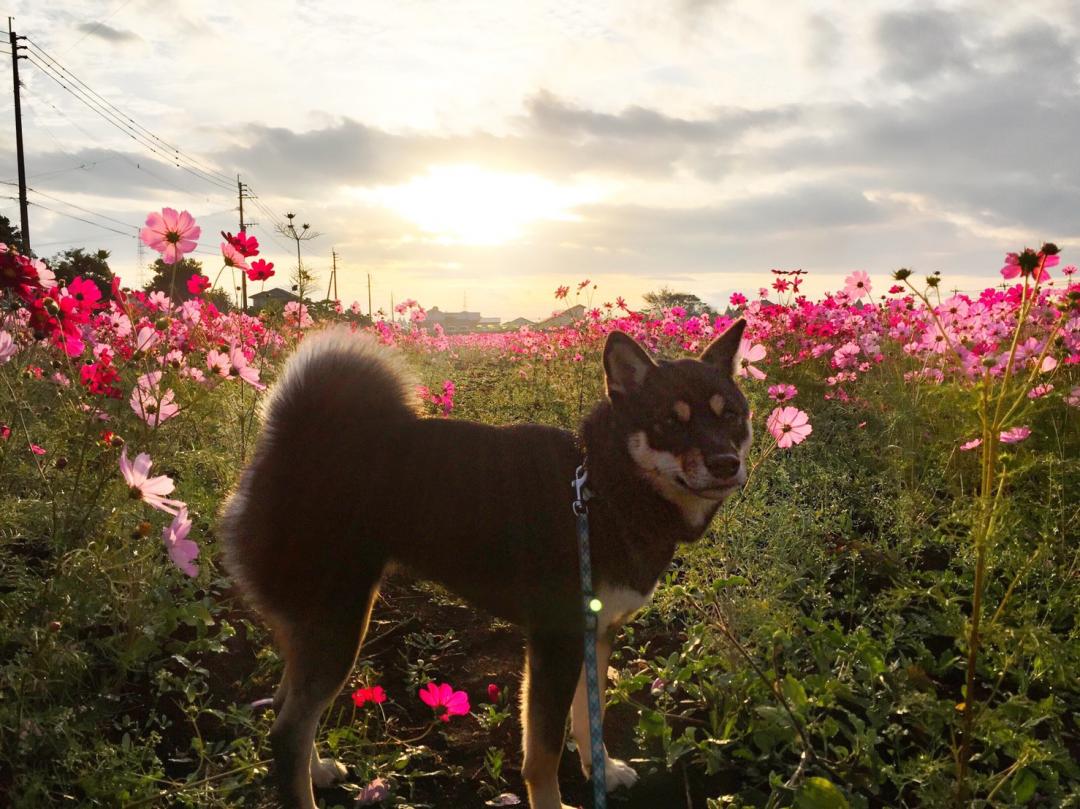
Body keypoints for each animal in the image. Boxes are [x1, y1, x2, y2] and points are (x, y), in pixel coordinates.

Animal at [219, 317, 751, 807]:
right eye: (671, 421)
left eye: (731, 416)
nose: (726, 462)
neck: (603, 486)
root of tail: (286, 444)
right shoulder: (556, 639)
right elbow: (543, 752)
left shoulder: (596, 632)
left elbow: (590, 717)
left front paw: (603, 768)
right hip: (340, 623)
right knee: (287, 732)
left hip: (314, 624)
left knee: (286, 707)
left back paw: (319, 769)